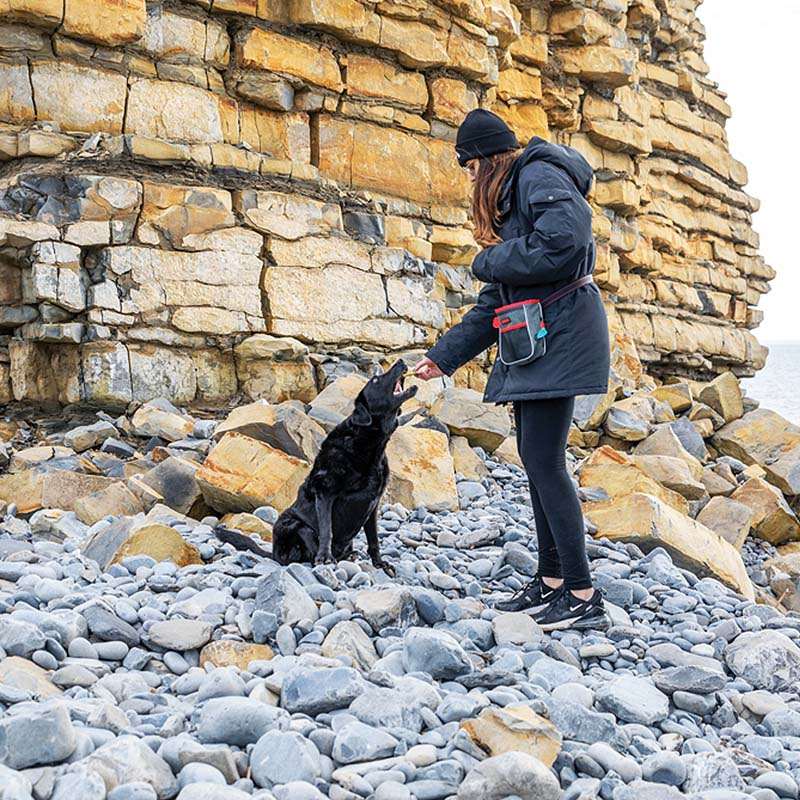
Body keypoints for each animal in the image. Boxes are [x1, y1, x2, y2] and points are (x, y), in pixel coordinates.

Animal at [217, 358, 418, 576]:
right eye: (375, 380)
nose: (401, 360)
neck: (368, 444)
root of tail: (272, 553)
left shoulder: (373, 503)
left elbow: (374, 540)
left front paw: (380, 563)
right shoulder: (325, 492)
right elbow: (326, 530)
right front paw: (325, 558)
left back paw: (349, 555)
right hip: (293, 523)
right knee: (302, 544)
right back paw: (322, 559)